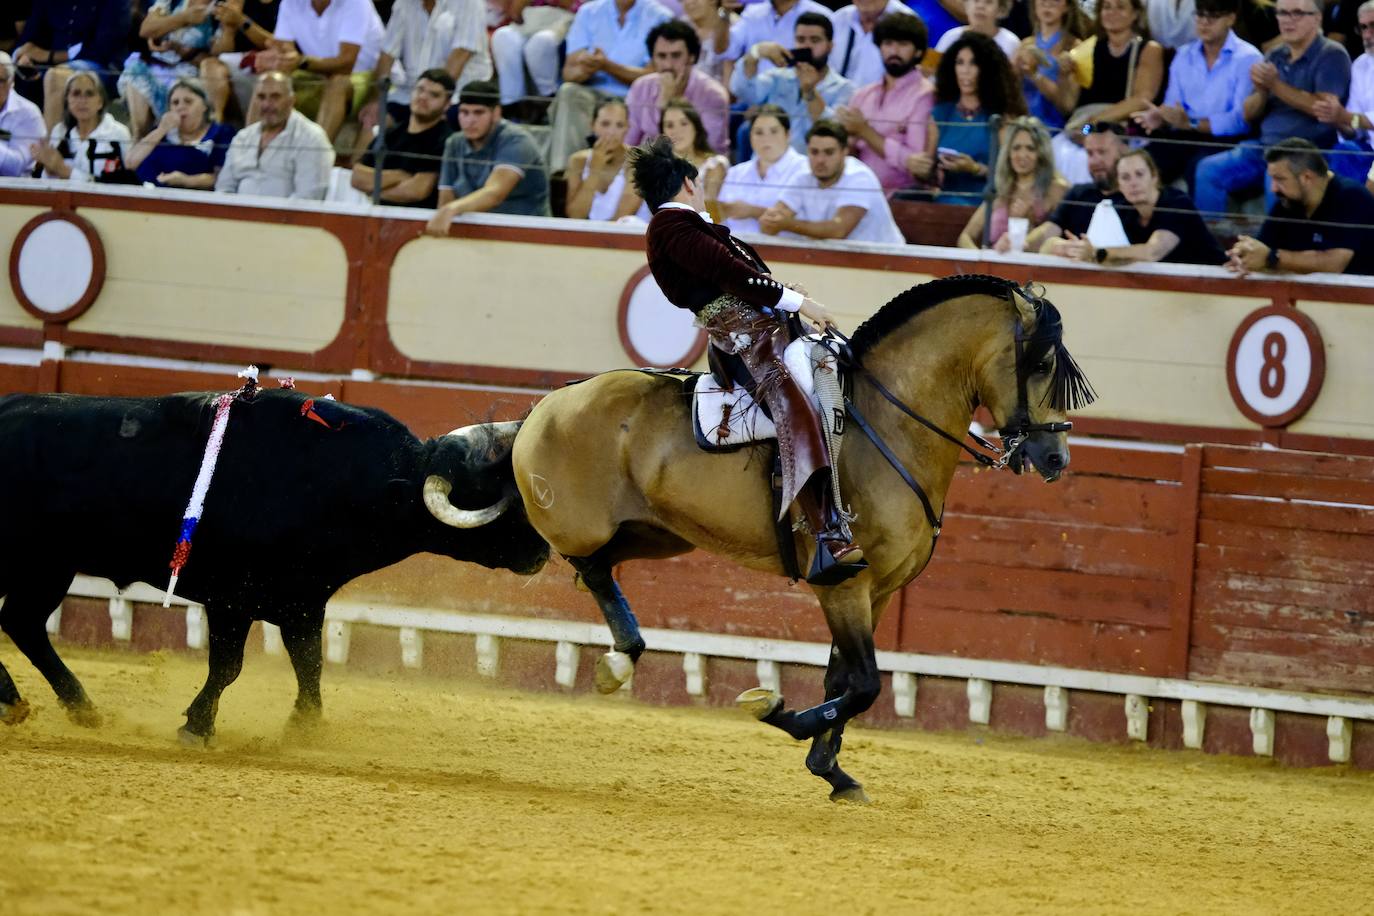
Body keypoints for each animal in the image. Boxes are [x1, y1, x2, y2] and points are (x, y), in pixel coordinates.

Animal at [0, 390, 546, 741]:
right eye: (493, 489)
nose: (542, 553)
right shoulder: (232, 599)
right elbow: (229, 666)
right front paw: (196, 725)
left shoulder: (303, 600)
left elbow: (310, 662)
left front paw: (307, 726)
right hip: (32, 563)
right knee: (20, 622)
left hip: (46, 566)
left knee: (23, 623)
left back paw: (72, 709)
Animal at [511, 274, 1099, 802]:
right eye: (1041, 364)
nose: (1055, 458)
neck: (887, 425)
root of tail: (550, 402)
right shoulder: (842, 584)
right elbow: (865, 683)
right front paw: (776, 711)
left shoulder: (880, 591)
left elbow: (845, 680)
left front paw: (831, 771)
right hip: (587, 525)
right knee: (588, 565)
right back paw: (619, 659)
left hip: (658, 533)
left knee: (601, 569)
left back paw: (621, 654)